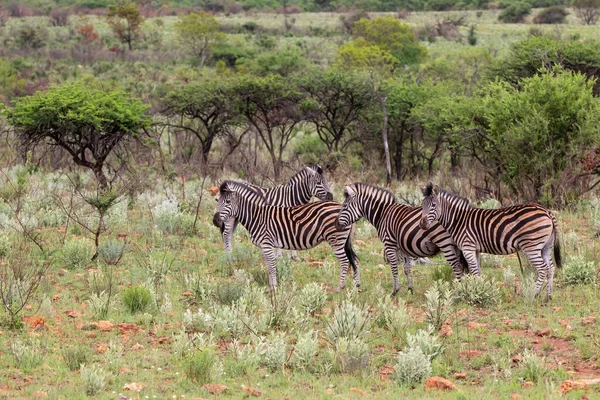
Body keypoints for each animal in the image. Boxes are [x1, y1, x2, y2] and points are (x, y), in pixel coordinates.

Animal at [214, 181, 358, 290]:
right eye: (217, 200)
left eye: (228, 201)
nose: (216, 220)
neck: (256, 217)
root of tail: (341, 206)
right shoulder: (265, 246)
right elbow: (269, 267)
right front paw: (271, 287)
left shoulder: (266, 244)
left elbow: (272, 267)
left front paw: (274, 288)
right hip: (343, 241)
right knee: (354, 260)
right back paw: (357, 287)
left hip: (336, 240)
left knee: (345, 262)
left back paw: (339, 288)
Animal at [332, 183, 468, 296]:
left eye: (345, 206)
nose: (336, 224)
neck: (383, 214)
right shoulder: (404, 246)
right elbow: (407, 269)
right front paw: (410, 290)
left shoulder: (390, 244)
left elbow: (394, 268)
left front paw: (395, 291)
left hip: (445, 242)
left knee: (457, 266)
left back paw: (460, 290)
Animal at [418, 183, 564, 298]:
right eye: (422, 205)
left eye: (434, 205)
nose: (422, 224)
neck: (458, 220)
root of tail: (547, 211)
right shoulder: (475, 249)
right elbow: (476, 270)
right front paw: (478, 290)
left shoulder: (467, 247)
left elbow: (474, 271)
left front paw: (477, 292)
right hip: (546, 246)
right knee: (550, 268)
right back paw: (548, 296)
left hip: (532, 247)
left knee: (542, 269)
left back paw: (534, 294)